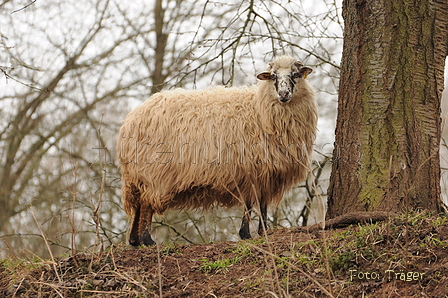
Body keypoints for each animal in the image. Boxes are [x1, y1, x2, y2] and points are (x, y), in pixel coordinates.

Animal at [117, 54, 316, 246]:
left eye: (296, 75)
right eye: (273, 76)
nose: (283, 94)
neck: (260, 108)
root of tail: (131, 119)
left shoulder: (264, 172)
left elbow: (261, 203)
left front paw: (262, 232)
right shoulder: (252, 168)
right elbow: (250, 203)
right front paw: (247, 233)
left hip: (140, 174)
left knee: (139, 205)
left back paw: (134, 240)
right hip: (153, 172)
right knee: (146, 204)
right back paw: (147, 240)